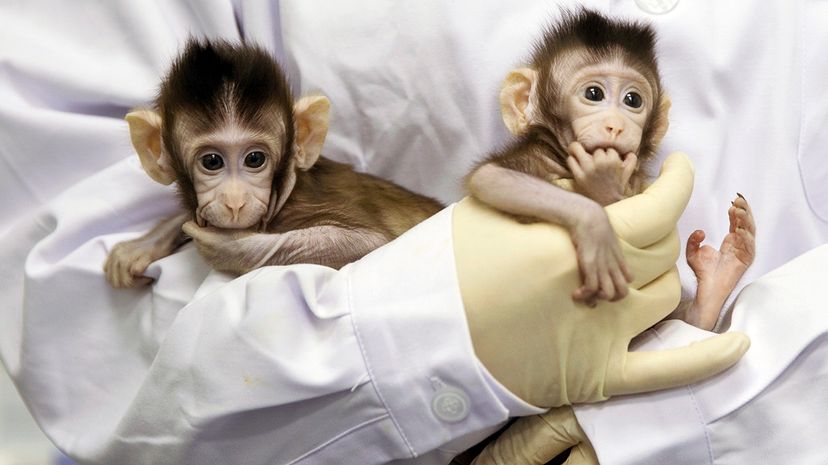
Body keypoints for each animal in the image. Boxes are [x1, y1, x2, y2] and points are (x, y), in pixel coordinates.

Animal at [104, 40, 443, 288]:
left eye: (255, 159)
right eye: (212, 161)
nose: (235, 201)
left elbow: (372, 243)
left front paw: (233, 247)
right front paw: (145, 244)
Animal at [465, 8, 755, 329]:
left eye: (633, 100)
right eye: (593, 94)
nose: (615, 125)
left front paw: (604, 184)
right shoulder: (534, 156)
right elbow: (493, 178)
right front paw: (595, 224)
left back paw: (717, 281)